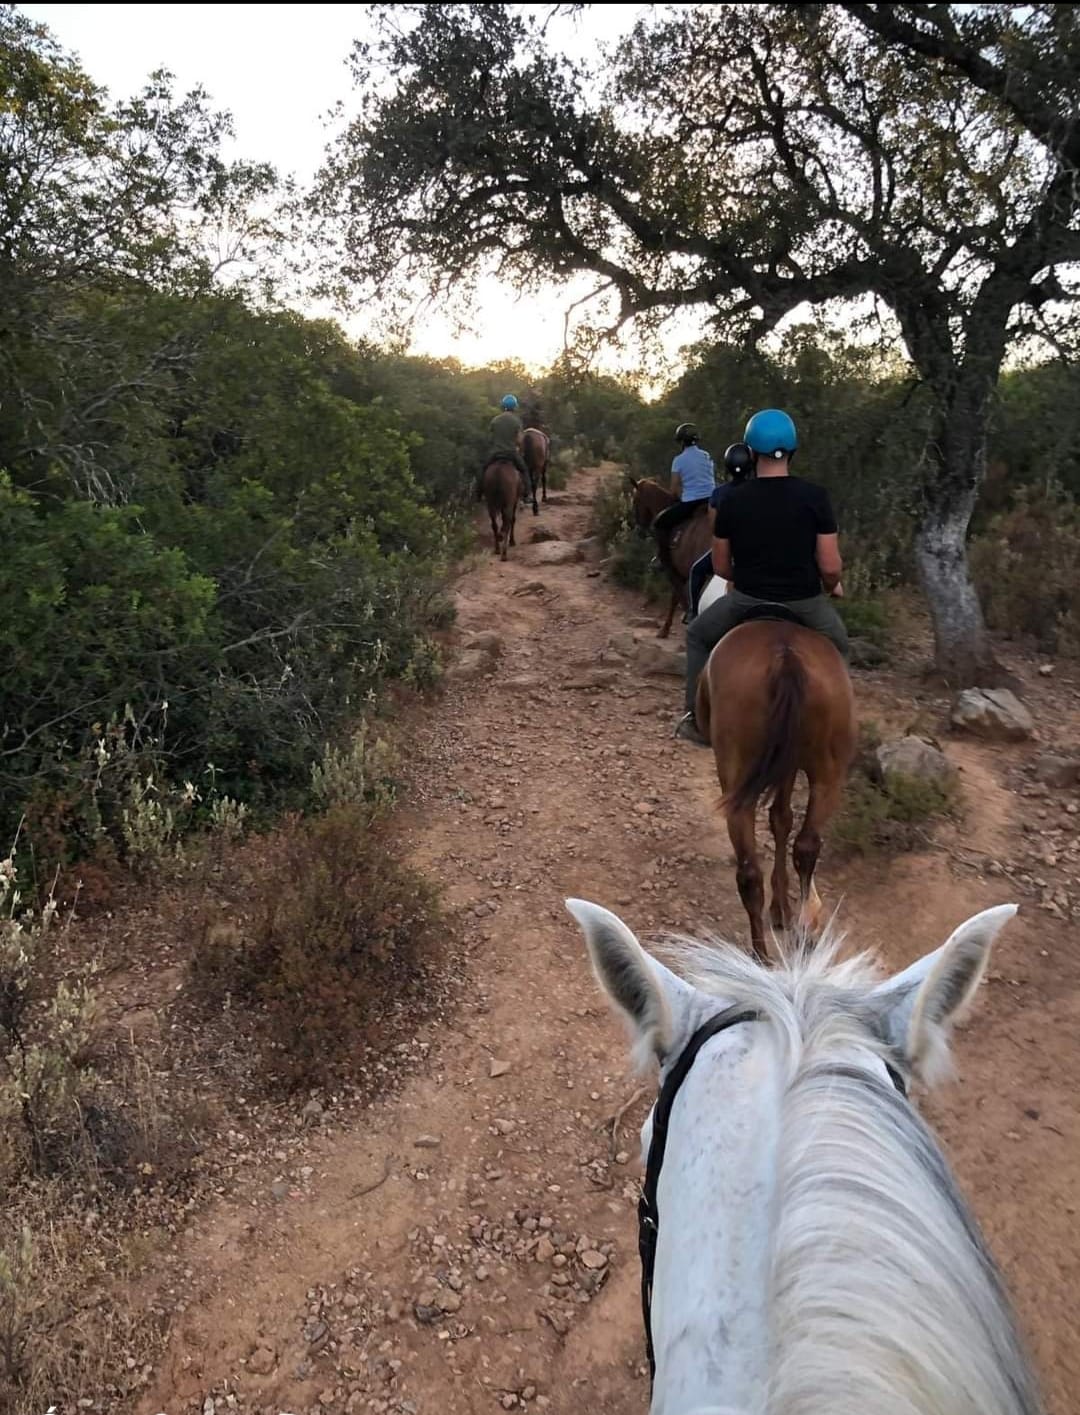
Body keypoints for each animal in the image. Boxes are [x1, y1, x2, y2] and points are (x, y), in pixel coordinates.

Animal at [628, 478, 713, 639]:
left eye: (635, 501)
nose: (639, 530)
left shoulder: (673, 571)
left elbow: (680, 598)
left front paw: (668, 628)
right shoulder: (682, 572)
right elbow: (677, 598)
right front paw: (666, 628)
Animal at [696, 619, 854, 962]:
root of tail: (786, 658)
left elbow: (779, 819)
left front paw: (780, 907)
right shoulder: (789, 766)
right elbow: (781, 819)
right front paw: (782, 907)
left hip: (736, 781)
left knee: (749, 871)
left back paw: (760, 955)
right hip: (828, 775)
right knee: (806, 847)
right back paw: (805, 931)